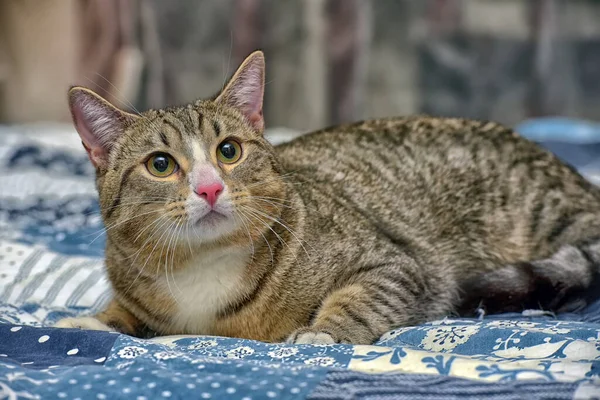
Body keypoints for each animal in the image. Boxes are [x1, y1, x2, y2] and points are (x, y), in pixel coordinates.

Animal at [55, 50, 600, 344]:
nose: (210, 186)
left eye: (228, 150)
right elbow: (122, 312)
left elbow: (364, 296)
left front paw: (326, 330)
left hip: (546, 215)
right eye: (160, 165)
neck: (203, 266)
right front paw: (95, 320)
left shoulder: (399, 265)